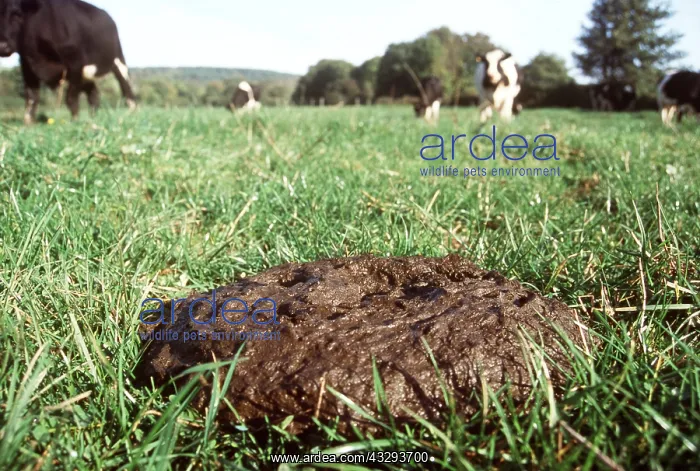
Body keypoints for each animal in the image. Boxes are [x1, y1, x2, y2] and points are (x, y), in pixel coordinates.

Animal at [0, 0, 137, 124]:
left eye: (17, 13)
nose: (2, 46)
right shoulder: (27, 64)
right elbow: (31, 97)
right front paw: (28, 123)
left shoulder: (75, 64)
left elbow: (70, 97)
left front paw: (74, 121)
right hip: (87, 75)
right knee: (94, 94)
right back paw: (93, 117)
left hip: (118, 59)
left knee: (126, 88)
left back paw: (131, 113)